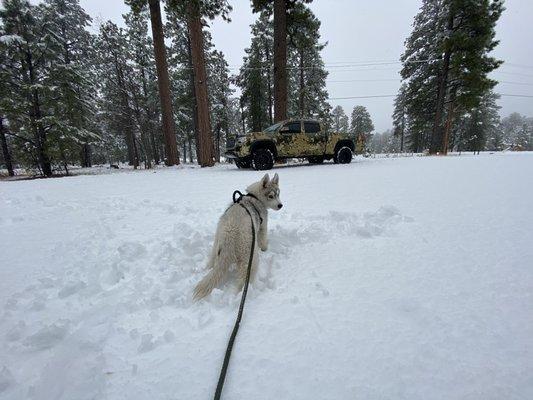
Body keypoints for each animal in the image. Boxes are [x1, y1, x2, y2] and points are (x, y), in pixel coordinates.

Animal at [192, 172, 282, 300]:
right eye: (271, 196)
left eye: (278, 194)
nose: (280, 205)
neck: (254, 198)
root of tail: (230, 235)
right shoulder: (263, 227)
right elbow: (263, 240)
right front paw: (265, 249)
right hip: (250, 259)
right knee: (243, 280)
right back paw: (239, 294)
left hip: (216, 246)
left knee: (212, 263)